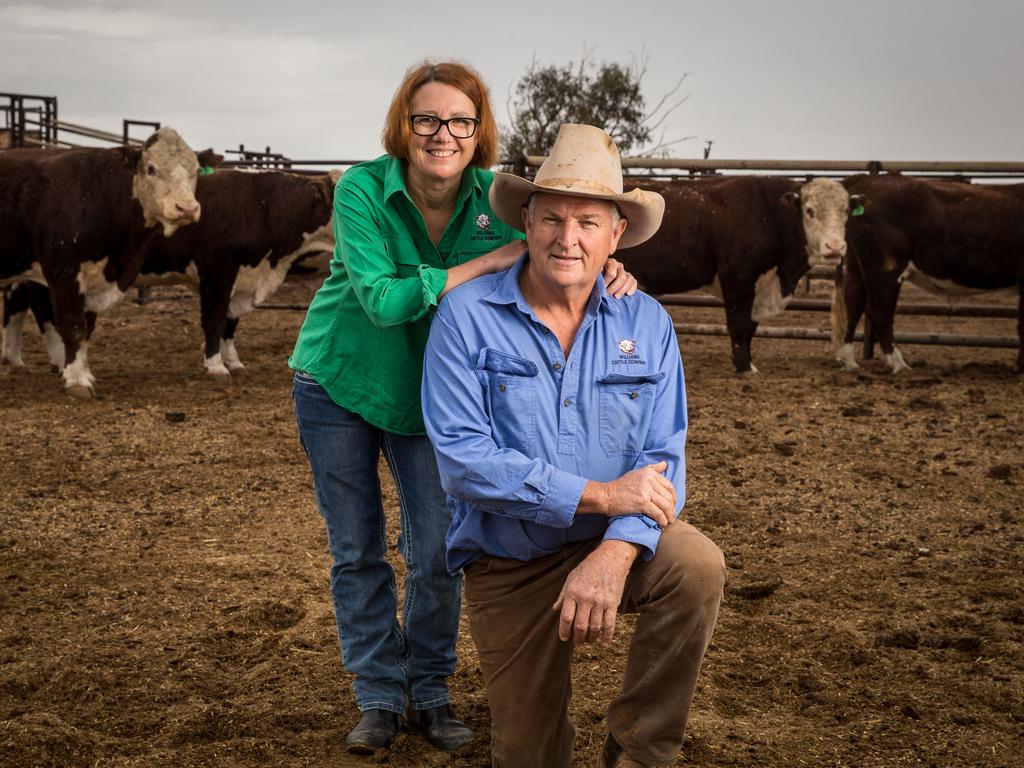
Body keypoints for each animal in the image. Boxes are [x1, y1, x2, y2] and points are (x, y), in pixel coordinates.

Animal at [0, 128, 211, 397]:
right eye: (151, 168)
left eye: (195, 169)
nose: (187, 208)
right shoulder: (63, 272)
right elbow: (73, 325)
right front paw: (77, 381)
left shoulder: (93, 279)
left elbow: (87, 329)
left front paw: (85, 374)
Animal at [622, 178, 856, 376]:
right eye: (810, 211)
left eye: (845, 211)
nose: (835, 247)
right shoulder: (737, 280)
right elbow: (739, 324)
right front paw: (744, 367)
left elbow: (751, 326)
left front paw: (747, 362)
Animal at [831, 177, 1024, 376]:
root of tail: (867, 180)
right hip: (884, 268)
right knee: (879, 313)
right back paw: (899, 365)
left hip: (856, 267)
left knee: (852, 306)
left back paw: (850, 362)